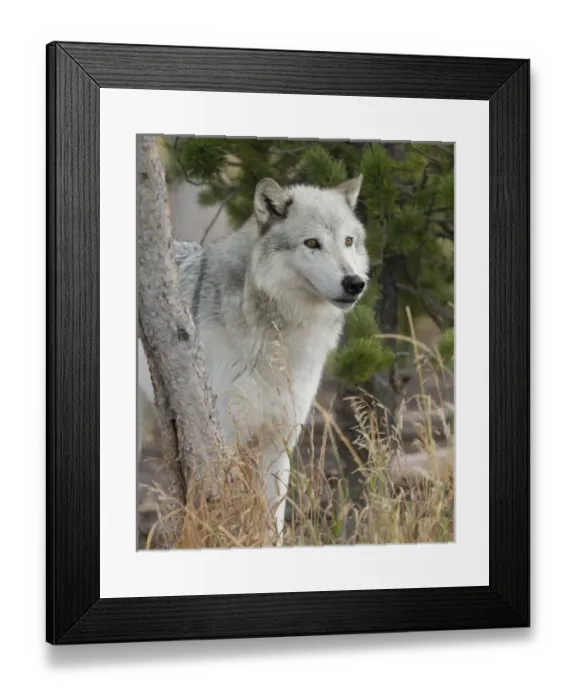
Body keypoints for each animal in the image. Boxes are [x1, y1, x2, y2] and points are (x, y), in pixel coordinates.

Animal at [138, 175, 369, 540]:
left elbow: (275, 519)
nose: (354, 283)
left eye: (348, 241)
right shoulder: (226, 437)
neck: (278, 339)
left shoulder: (281, 438)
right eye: (312, 243)